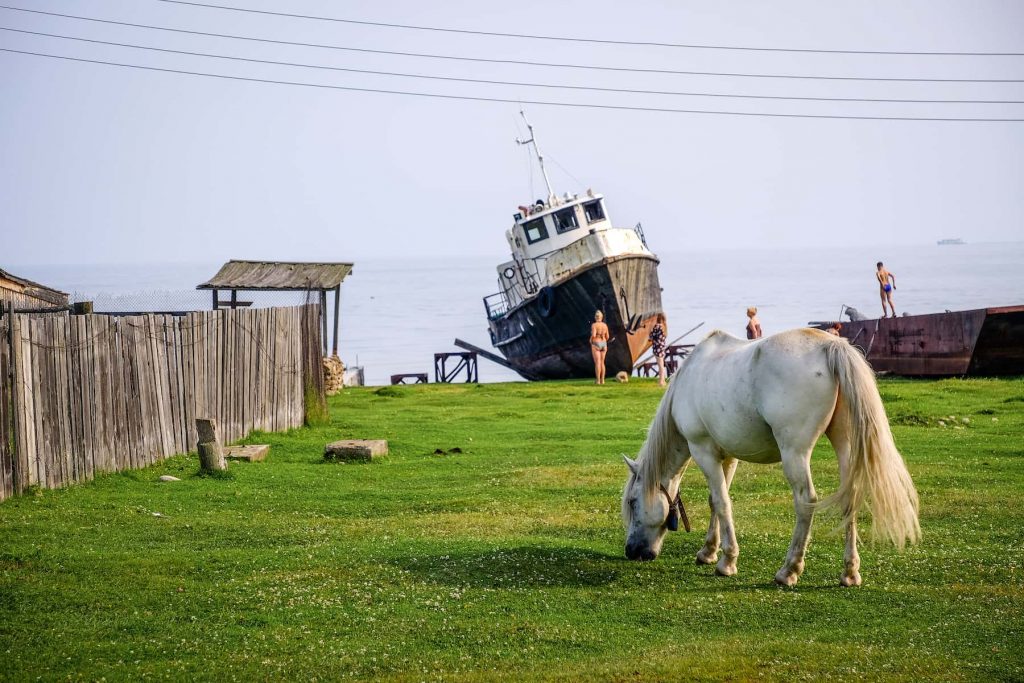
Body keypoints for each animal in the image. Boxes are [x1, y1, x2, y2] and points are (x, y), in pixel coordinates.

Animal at [618, 327, 925, 585]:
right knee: (850, 497)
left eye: (633, 502)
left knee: (806, 501)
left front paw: (727, 561)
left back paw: (789, 570)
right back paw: (849, 572)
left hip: (794, 453)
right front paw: (708, 551)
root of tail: (830, 346)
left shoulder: (702, 450)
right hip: (845, 445)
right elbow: (715, 502)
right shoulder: (727, 456)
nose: (631, 551)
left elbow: (722, 502)